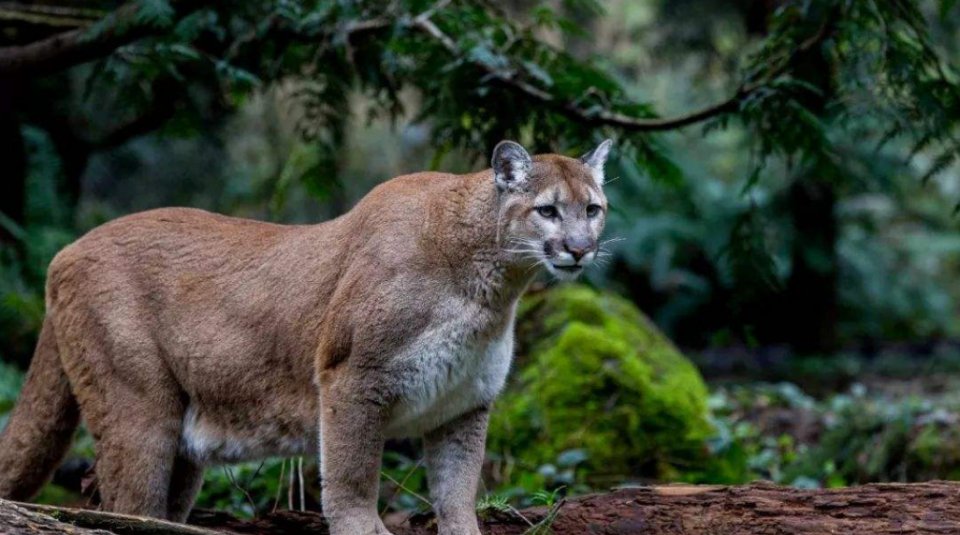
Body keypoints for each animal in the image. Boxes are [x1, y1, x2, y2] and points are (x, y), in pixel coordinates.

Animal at [0, 139, 612, 535]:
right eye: (547, 210)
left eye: (593, 209)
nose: (580, 249)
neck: (489, 288)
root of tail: (66, 251)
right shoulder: (352, 379)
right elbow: (351, 476)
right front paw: (363, 529)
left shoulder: (463, 404)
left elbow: (458, 492)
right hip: (139, 409)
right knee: (125, 508)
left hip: (182, 433)